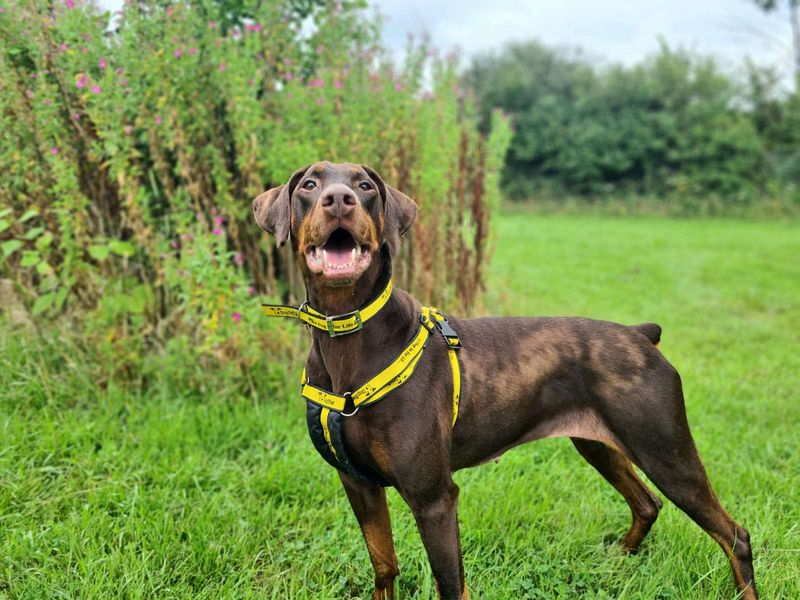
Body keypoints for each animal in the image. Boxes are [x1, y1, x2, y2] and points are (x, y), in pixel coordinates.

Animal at [255, 163, 756, 600]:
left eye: (365, 186)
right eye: (310, 184)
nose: (339, 199)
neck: (347, 336)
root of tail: (640, 334)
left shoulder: (434, 497)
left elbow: (451, 585)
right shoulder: (357, 481)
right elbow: (384, 567)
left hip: (665, 449)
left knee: (735, 535)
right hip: (598, 443)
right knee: (648, 504)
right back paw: (618, 561)